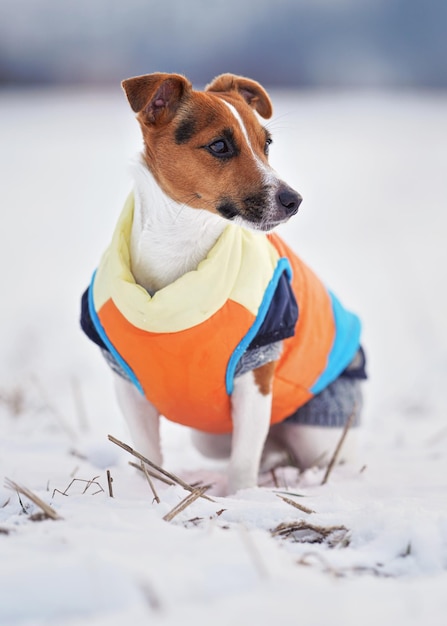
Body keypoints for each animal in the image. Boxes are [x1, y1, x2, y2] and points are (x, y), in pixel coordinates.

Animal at [81, 73, 368, 492]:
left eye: (266, 143)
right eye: (219, 145)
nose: (294, 200)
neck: (180, 245)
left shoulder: (256, 374)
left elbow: (244, 459)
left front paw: (241, 496)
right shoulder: (126, 384)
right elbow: (148, 454)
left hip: (315, 431)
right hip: (209, 436)